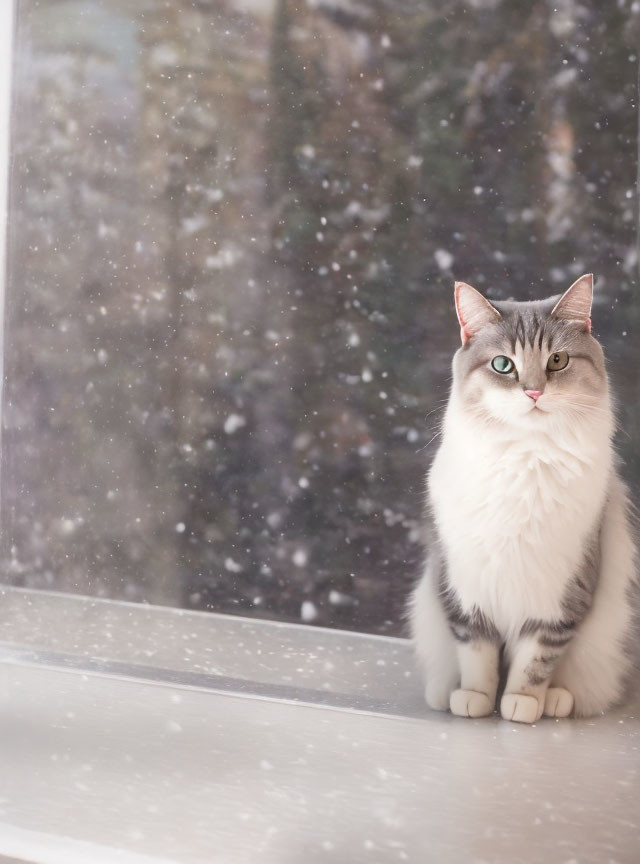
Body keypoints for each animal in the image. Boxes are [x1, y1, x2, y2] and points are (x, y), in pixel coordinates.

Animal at [412, 276, 636, 724]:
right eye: (503, 365)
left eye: (557, 361)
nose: (533, 391)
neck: (525, 457)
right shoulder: (467, 590)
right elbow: (477, 653)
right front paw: (476, 700)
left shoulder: (561, 596)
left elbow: (536, 661)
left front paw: (521, 704)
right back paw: (444, 693)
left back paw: (555, 701)